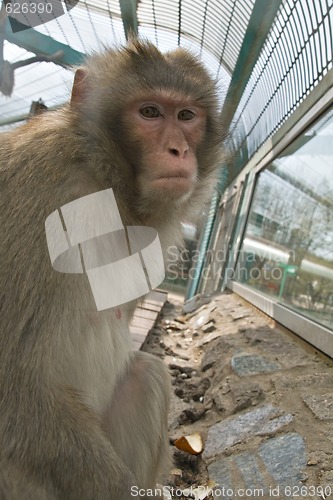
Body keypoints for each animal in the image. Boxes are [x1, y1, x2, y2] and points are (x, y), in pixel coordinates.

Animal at [0, 38, 224, 496]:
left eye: (186, 116)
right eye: (150, 112)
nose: (178, 150)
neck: (106, 181)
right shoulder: (36, 185)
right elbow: (12, 375)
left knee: (147, 374)